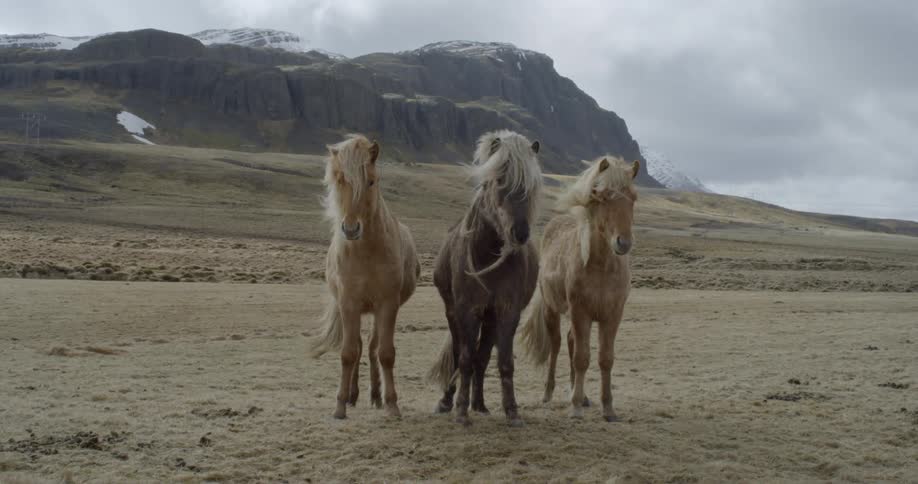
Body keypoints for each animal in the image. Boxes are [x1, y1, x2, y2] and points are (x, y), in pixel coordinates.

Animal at [309, 134, 420, 420]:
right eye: (340, 179)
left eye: (370, 181)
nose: (350, 229)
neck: (366, 252)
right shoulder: (349, 304)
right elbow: (348, 353)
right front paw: (339, 405)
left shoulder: (387, 305)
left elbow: (385, 353)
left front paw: (391, 404)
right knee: (359, 348)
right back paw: (352, 395)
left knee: (371, 348)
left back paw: (375, 395)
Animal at [428, 130, 543, 427]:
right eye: (500, 179)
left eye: (532, 184)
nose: (520, 233)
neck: (488, 256)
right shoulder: (466, 310)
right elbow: (464, 359)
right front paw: (460, 411)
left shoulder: (507, 311)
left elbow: (503, 361)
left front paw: (511, 411)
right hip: (454, 312)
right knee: (459, 354)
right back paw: (447, 401)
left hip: (490, 318)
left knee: (482, 356)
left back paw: (479, 403)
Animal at [520, 155, 639, 421]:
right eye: (603, 196)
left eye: (633, 197)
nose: (623, 243)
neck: (601, 268)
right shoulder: (580, 312)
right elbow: (582, 358)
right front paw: (574, 408)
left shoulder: (612, 315)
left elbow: (605, 359)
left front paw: (608, 408)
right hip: (552, 311)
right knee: (556, 345)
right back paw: (549, 393)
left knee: (570, 341)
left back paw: (581, 394)